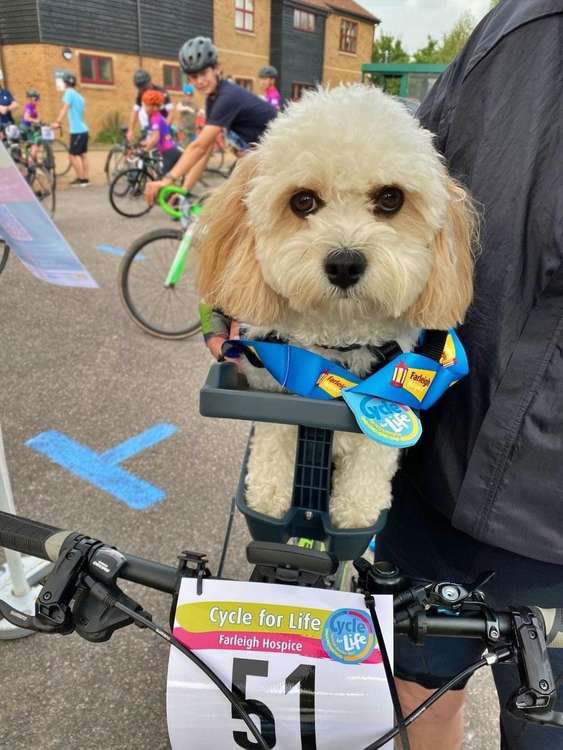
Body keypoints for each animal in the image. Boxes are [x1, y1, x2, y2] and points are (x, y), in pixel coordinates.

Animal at [194, 85, 476, 532]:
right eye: (303, 201)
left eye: (391, 198)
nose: (345, 264)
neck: (337, 351)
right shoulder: (274, 395)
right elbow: (274, 443)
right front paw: (270, 493)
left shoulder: (391, 407)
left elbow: (373, 457)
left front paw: (357, 507)